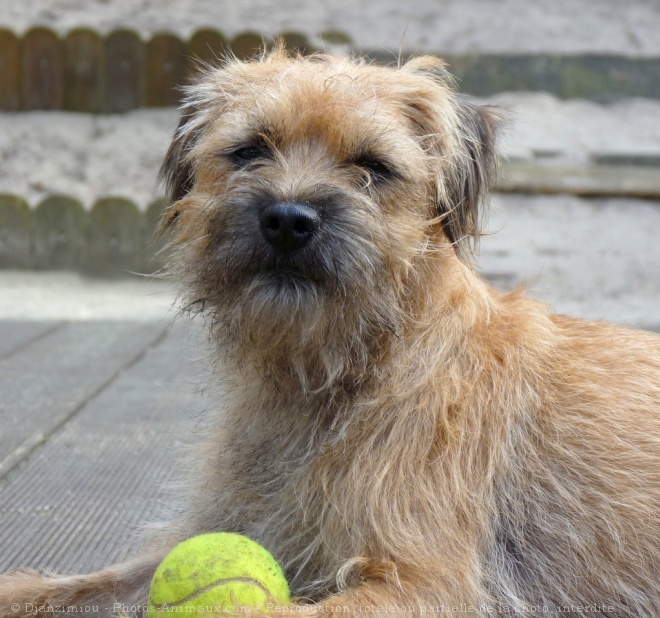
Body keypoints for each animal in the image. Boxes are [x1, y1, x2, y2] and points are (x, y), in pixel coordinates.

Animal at [1, 48, 660, 616]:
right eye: (249, 151)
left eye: (372, 167)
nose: (288, 220)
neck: (334, 370)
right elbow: (95, 582)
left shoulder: (424, 581)